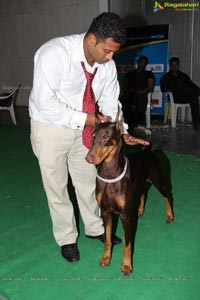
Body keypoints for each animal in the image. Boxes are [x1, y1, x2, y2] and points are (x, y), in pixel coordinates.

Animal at [85, 118, 174, 276]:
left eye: (105, 137)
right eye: (93, 136)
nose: (88, 158)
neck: (109, 173)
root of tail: (147, 151)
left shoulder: (124, 215)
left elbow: (127, 244)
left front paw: (126, 265)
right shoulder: (105, 212)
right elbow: (108, 239)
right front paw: (106, 258)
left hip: (158, 181)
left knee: (167, 194)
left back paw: (169, 216)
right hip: (139, 184)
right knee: (144, 193)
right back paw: (139, 210)